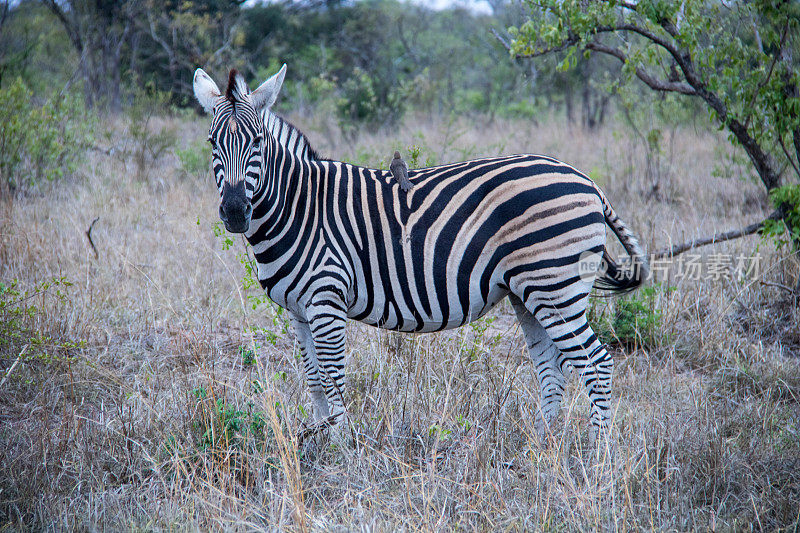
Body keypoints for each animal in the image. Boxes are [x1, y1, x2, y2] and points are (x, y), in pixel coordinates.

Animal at [192, 65, 648, 440]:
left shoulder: (326, 298)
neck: (299, 207)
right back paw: (543, 450)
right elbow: (314, 379)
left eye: (257, 142)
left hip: (555, 285)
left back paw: (596, 461)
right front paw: (317, 447)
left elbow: (334, 378)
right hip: (530, 292)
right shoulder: (297, 309)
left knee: (596, 364)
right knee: (552, 367)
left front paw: (341, 450)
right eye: (213, 142)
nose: (236, 211)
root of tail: (587, 181)